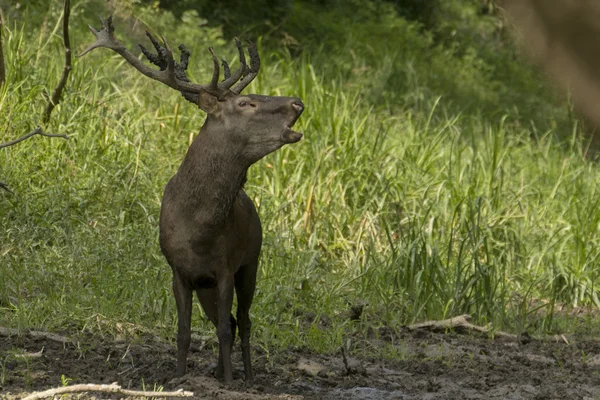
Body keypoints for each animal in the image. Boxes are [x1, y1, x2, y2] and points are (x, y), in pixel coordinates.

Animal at [79, 15, 304, 384]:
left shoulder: (226, 267)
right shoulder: (179, 272)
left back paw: (247, 376)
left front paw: (229, 382)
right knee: (230, 321)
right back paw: (219, 370)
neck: (199, 229)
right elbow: (184, 331)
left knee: (243, 322)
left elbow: (225, 330)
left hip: (252, 261)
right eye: (246, 102)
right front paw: (179, 377)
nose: (298, 102)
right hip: (209, 285)